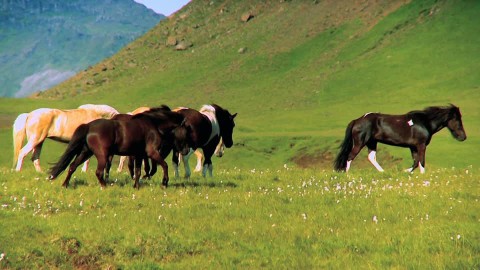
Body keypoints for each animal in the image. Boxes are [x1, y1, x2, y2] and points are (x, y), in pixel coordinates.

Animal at [48, 104, 191, 189]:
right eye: (186, 131)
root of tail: (89, 126)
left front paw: (136, 186)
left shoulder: (139, 155)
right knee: (98, 172)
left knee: (72, 166)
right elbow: (164, 165)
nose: (186, 150)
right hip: (102, 155)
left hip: (85, 152)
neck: (154, 124)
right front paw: (164, 183)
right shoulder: (152, 153)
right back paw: (105, 186)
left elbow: (138, 171)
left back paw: (65, 185)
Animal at [334, 104, 464, 174]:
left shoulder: (413, 147)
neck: (424, 122)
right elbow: (421, 162)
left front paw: (405, 172)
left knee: (371, 157)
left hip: (372, 142)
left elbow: (416, 162)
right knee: (350, 157)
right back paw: (347, 174)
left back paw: (383, 172)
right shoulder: (421, 145)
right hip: (360, 142)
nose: (463, 136)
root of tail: (357, 120)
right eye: (457, 119)